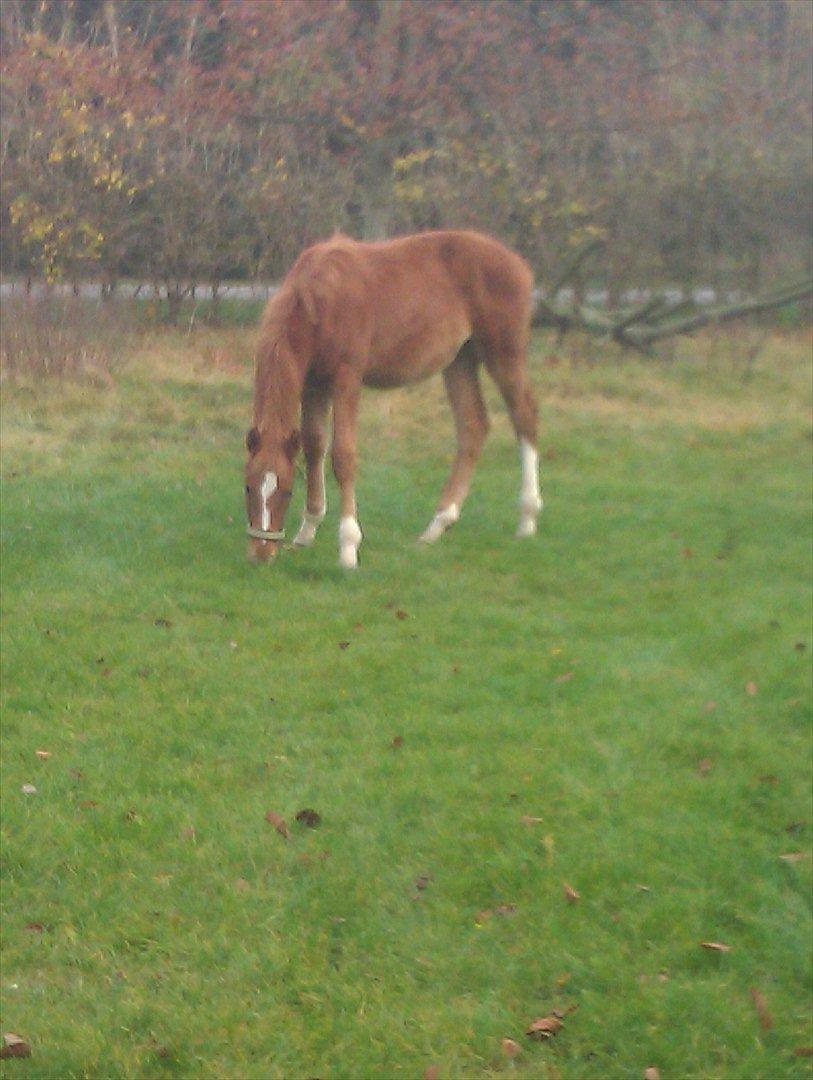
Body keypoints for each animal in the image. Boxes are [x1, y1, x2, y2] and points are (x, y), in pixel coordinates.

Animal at [244, 226, 542, 565]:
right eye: (248, 487)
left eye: (286, 491)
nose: (261, 553)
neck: (319, 298)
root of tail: (519, 264)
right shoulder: (313, 383)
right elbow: (314, 445)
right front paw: (307, 531)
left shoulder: (346, 379)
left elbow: (343, 456)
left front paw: (348, 547)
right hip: (460, 360)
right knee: (473, 425)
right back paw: (437, 526)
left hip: (503, 352)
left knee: (524, 416)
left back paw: (527, 519)